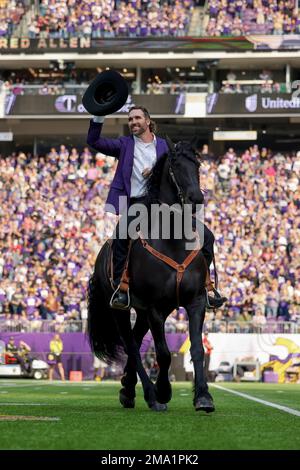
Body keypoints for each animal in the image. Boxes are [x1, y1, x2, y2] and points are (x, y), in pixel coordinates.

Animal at [88, 141, 214, 414]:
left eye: (197, 164)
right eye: (176, 164)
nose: (196, 199)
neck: (173, 240)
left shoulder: (196, 302)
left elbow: (197, 349)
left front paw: (203, 397)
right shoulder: (156, 307)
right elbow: (164, 354)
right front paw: (164, 391)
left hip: (144, 312)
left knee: (135, 341)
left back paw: (127, 390)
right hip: (123, 309)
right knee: (132, 346)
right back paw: (150, 395)